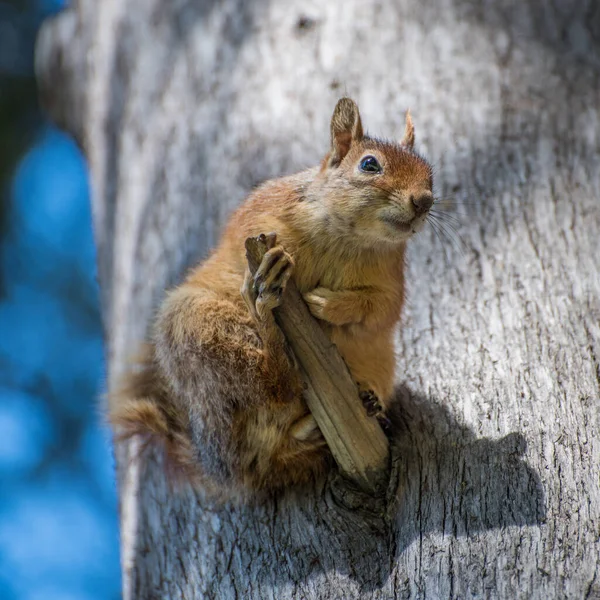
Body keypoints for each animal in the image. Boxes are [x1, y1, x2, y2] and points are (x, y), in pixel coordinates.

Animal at [111, 98, 432, 496]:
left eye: (430, 173)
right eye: (369, 164)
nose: (424, 201)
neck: (350, 240)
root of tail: (233, 468)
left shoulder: (390, 281)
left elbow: (379, 311)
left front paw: (328, 305)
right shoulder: (261, 214)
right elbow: (243, 245)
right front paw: (263, 275)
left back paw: (359, 407)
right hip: (196, 326)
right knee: (272, 383)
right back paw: (264, 314)